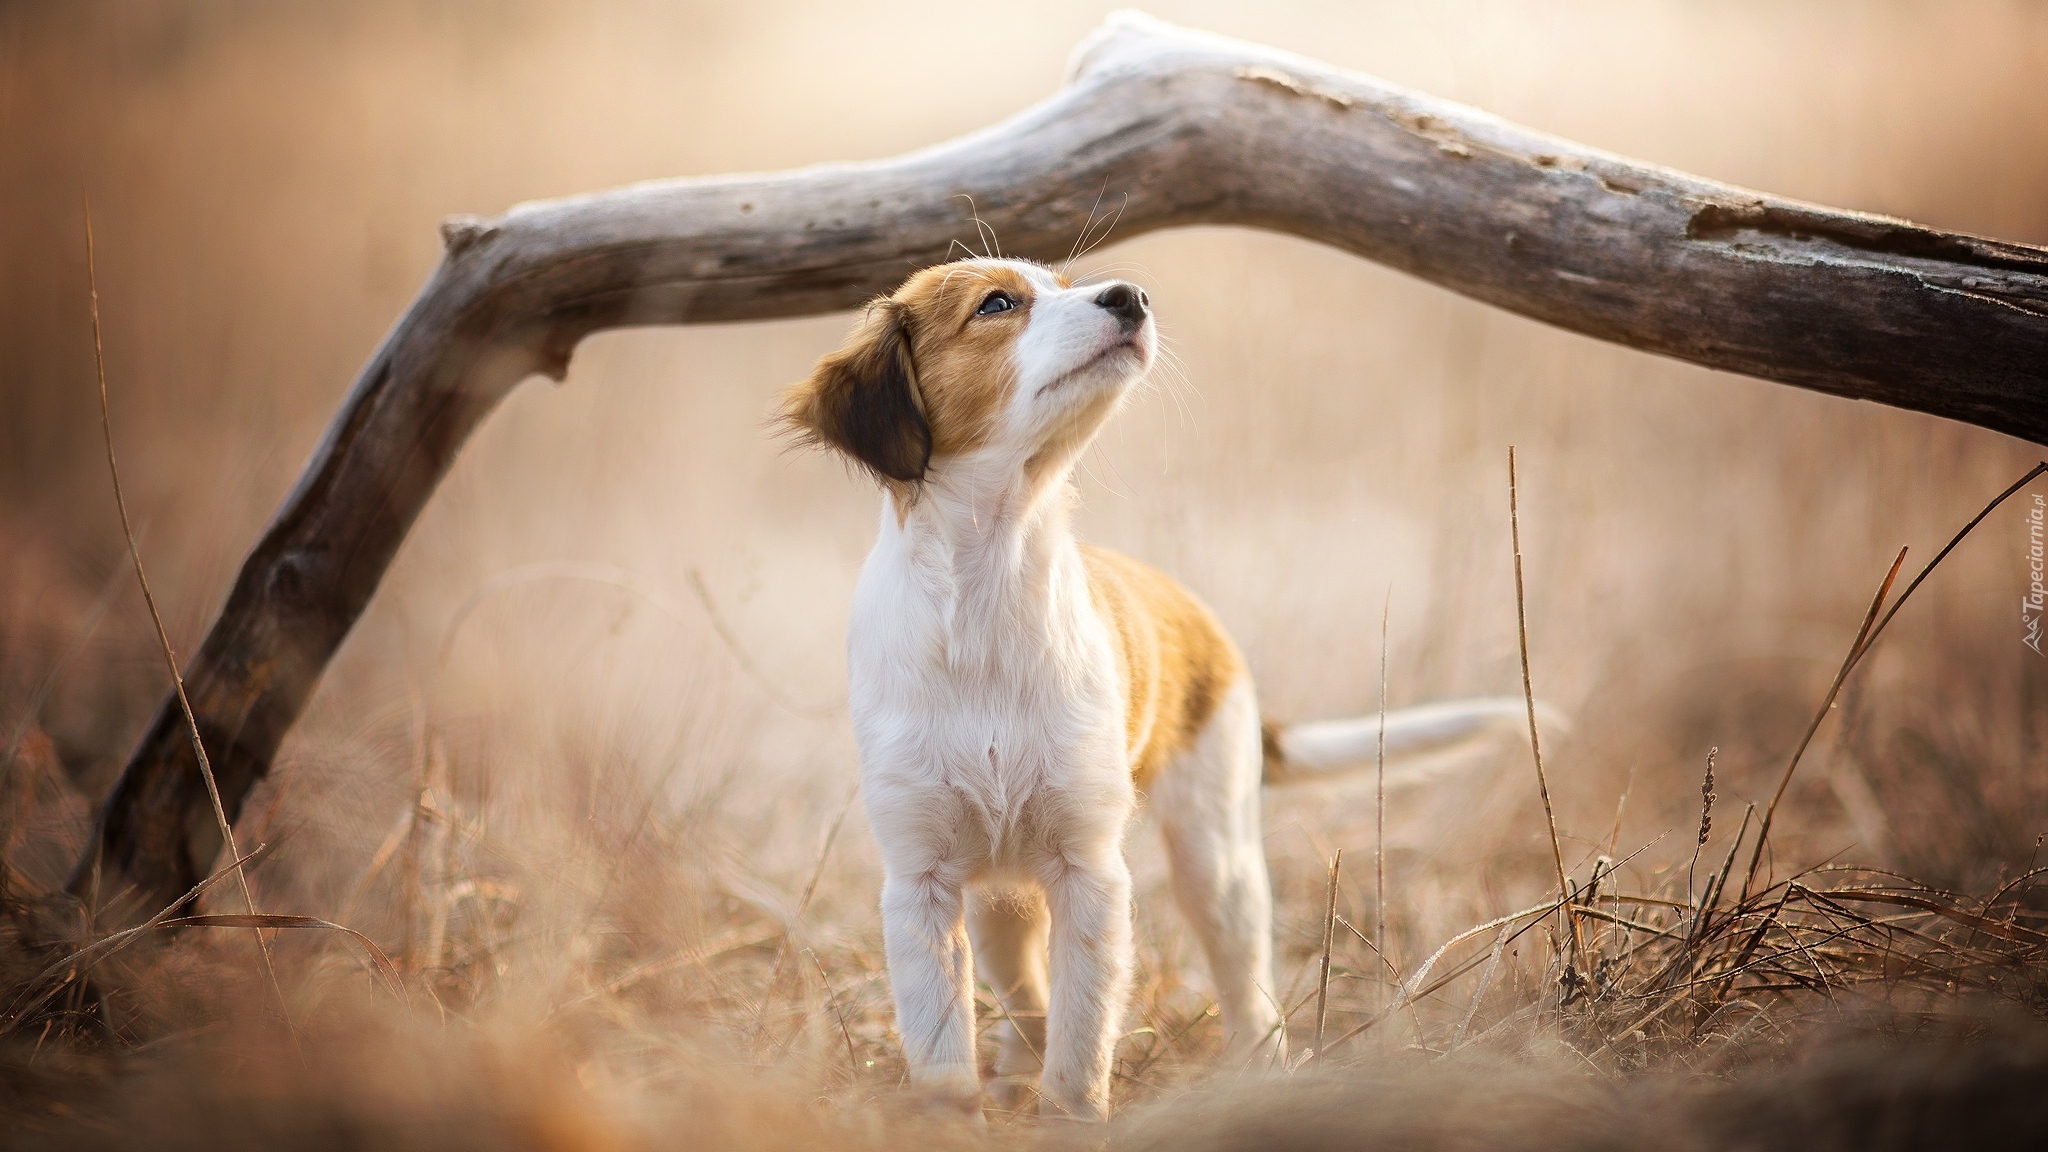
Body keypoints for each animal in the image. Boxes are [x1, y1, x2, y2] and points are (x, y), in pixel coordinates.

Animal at [778, 258, 1540, 1115]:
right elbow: (946, 1051)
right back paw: (1013, 1070)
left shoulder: (1089, 871)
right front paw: (959, 1115)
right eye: (997, 304)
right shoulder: (921, 882)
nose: (1131, 297)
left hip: (1218, 862)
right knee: (1025, 994)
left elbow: (1081, 1046)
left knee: (1249, 995)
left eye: (1066, 283)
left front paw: (1068, 1118)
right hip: (1001, 895)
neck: (988, 595)